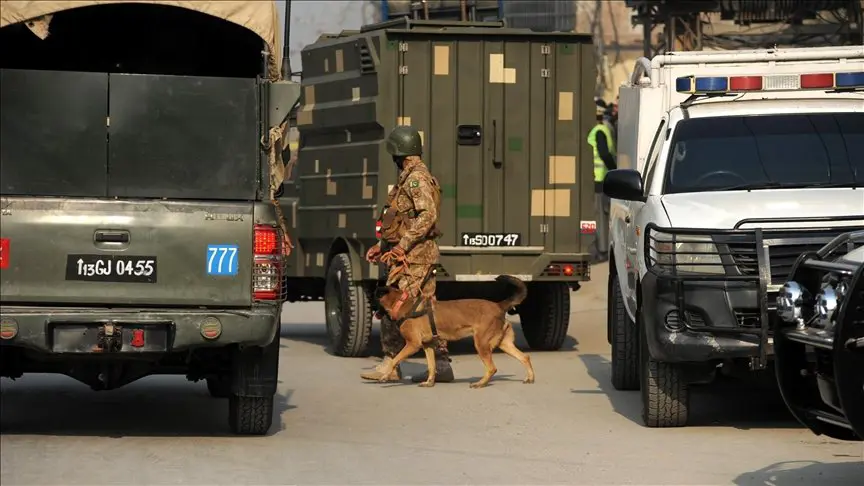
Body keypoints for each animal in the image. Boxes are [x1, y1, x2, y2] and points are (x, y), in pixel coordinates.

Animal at [376, 276, 536, 390]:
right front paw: (429, 382)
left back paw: (480, 383)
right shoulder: (428, 345)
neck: (401, 303)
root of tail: (499, 305)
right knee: (524, 357)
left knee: (492, 368)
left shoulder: (412, 344)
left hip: (481, 343)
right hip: (504, 344)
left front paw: (385, 375)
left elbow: (395, 359)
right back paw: (530, 378)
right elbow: (431, 366)